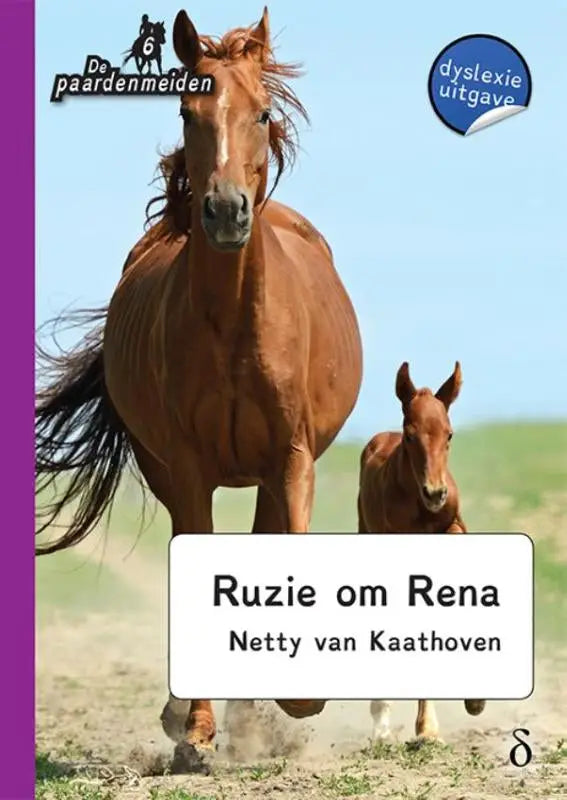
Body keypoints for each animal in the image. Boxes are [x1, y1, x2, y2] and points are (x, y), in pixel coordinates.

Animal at [36, 7, 363, 771]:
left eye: (262, 110)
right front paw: (196, 733)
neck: (233, 325)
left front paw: (297, 701)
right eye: (188, 111)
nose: (223, 212)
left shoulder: (291, 459)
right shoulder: (185, 469)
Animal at [357, 362, 486, 744]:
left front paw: (475, 700)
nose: (435, 492)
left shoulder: (454, 526)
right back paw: (381, 720)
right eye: (411, 435)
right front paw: (427, 728)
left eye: (449, 434)